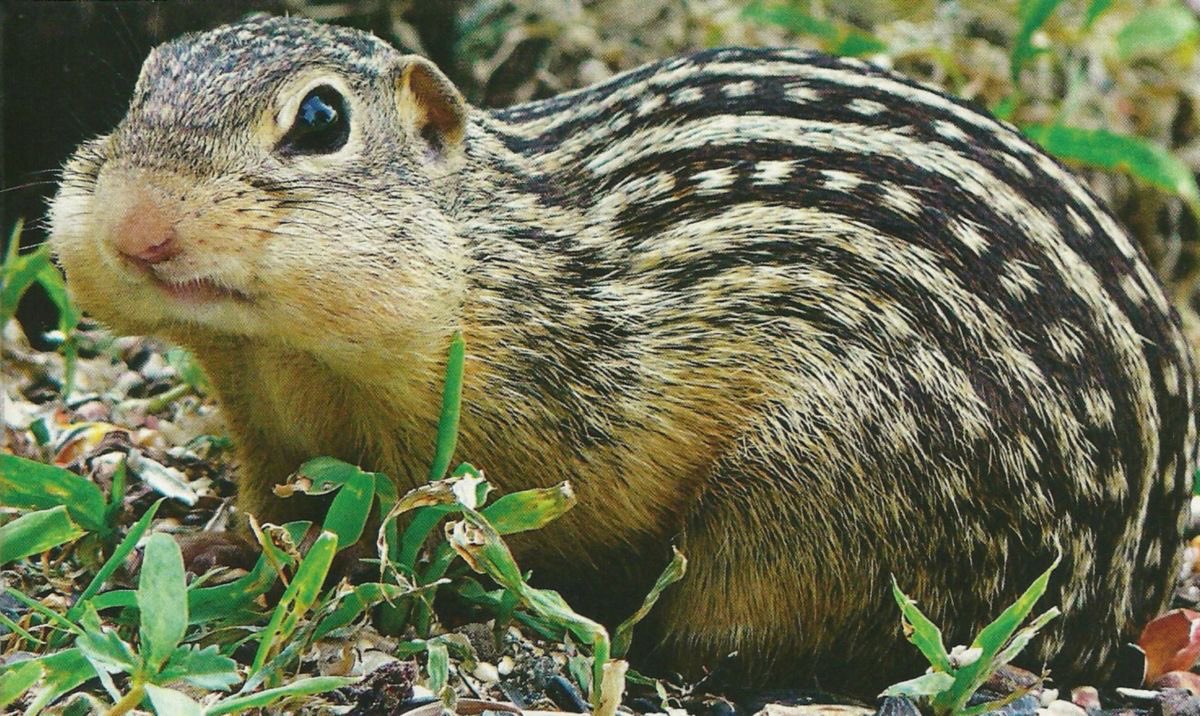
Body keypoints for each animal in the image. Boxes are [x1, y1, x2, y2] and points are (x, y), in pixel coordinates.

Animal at [49, 14, 1197, 691]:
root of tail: (1123, 596)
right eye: (140, 86)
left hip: (809, 502)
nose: (137, 228)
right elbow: (270, 508)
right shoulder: (267, 428)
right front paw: (211, 550)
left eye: (322, 118)